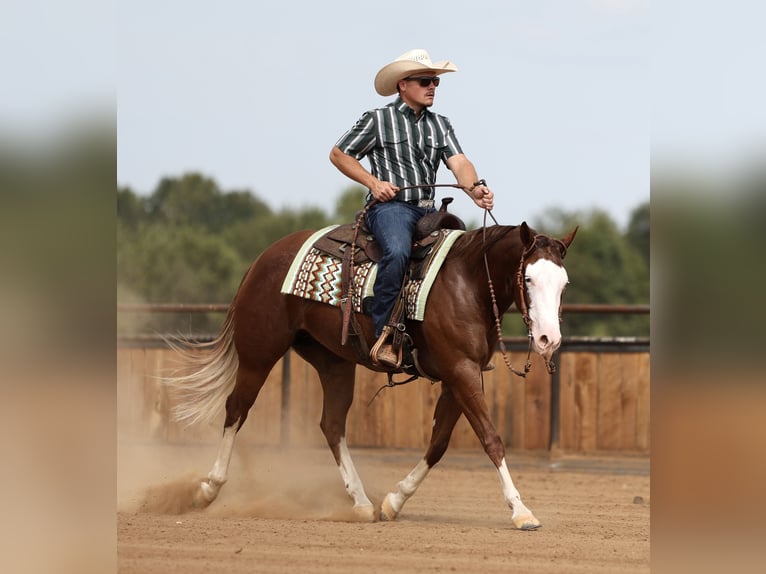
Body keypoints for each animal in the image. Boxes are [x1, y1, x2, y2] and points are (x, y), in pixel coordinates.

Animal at [165, 220, 577, 530]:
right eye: (528, 279)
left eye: (564, 283)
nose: (549, 339)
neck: (468, 281)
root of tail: (263, 259)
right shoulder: (460, 370)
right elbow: (491, 439)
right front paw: (522, 511)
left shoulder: (461, 374)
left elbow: (439, 443)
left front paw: (394, 501)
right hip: (258, 353)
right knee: (236, 409)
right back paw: (207, 489)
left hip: (334, 362)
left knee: (332, 424)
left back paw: (362, 502)